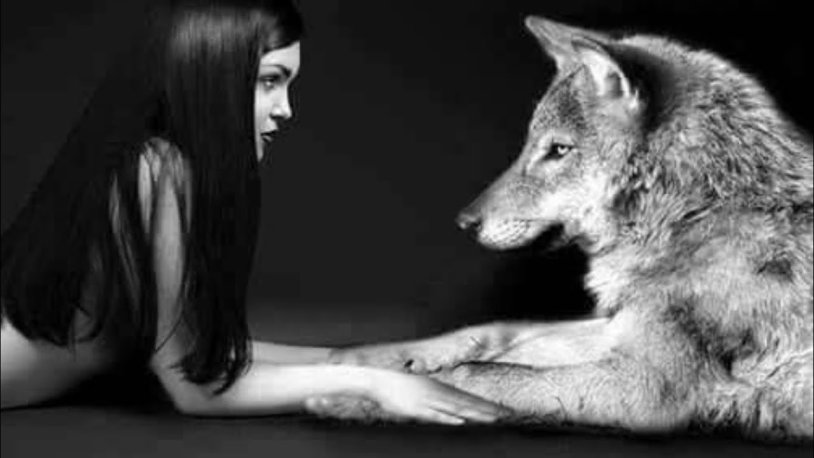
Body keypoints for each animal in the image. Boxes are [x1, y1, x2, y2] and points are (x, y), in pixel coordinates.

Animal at [318, 17, 814, 441]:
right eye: (529, 145)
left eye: (558, 150)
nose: (465, 222)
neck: (696, 214)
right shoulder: (619, 327)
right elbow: (496, 332)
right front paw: (354, 363)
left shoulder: (646, 387)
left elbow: (472, 373)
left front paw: (366, 394)